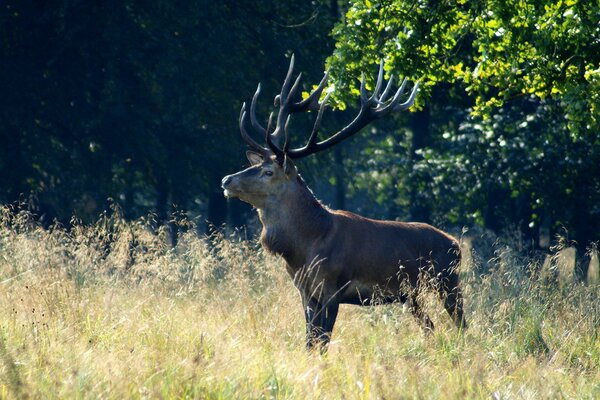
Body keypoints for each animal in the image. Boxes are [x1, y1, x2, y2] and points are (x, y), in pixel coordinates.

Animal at [223, 55, 466, 350]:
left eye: (268, 172)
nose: (226, 180)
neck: (304, 247)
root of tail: (455, 244)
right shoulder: (304, 291)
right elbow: (309, 341)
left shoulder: (332, 287)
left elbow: (323, 341)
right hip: (412, 295)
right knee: (430, 326)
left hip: (448, 280)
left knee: (462, 324)